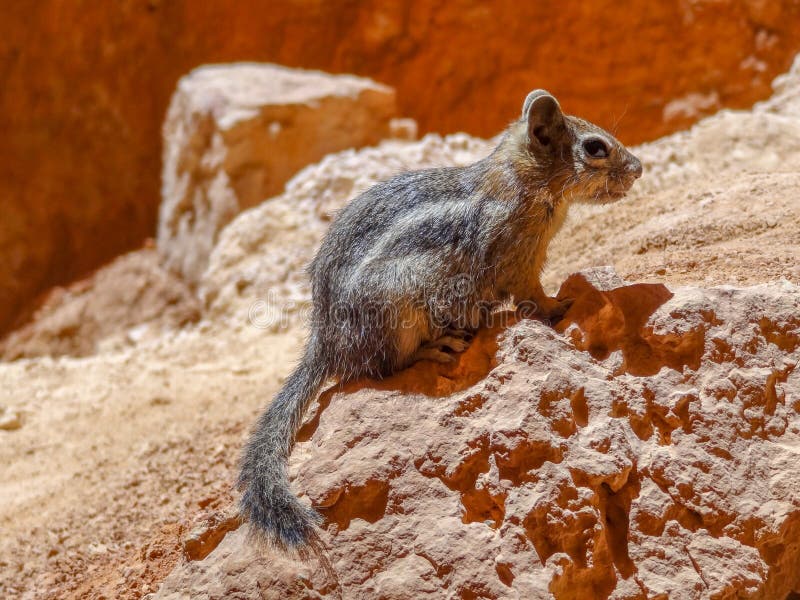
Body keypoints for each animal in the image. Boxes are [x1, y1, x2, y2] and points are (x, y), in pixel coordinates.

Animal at [238, 91, 644, 556]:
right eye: (596, 148)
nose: (639, 168)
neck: (519, 180)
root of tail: (323, 343)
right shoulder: (518, 261)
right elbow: (532, 297)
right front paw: (559, 306)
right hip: (396, 312)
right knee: (379, 367)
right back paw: (437, 347)